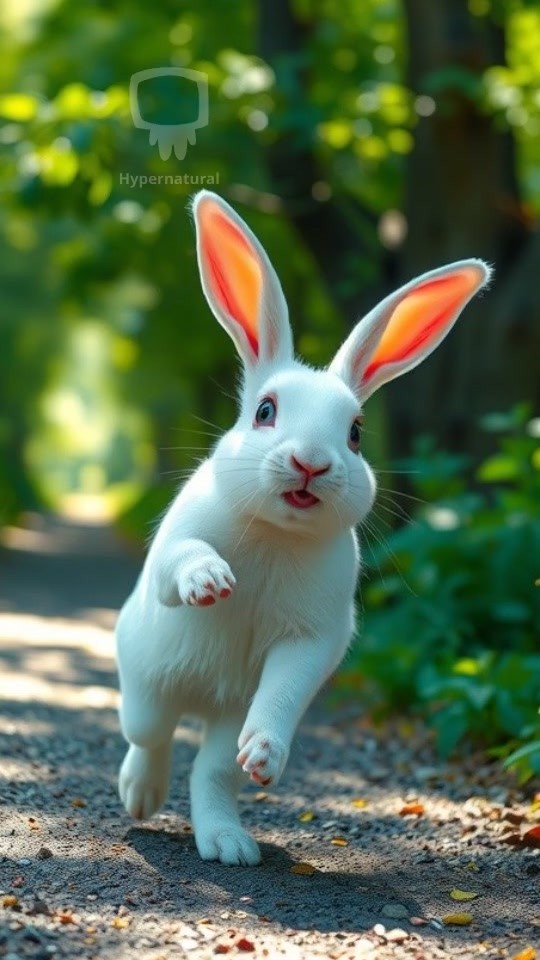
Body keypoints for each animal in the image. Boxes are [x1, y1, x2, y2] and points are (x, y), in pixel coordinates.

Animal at [116, 189, 491, 866]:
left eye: (356, 432)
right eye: (266, 411)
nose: (310, 463)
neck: (276, 531)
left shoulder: (312, 639)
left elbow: (285, 692)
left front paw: (266, 756)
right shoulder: (170, 554)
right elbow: (182, 559)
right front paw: (212, 583)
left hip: (226, 715)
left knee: (213, 771)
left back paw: (230, 845)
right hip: (148, 683)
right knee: (149, 737)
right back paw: (140, 796)